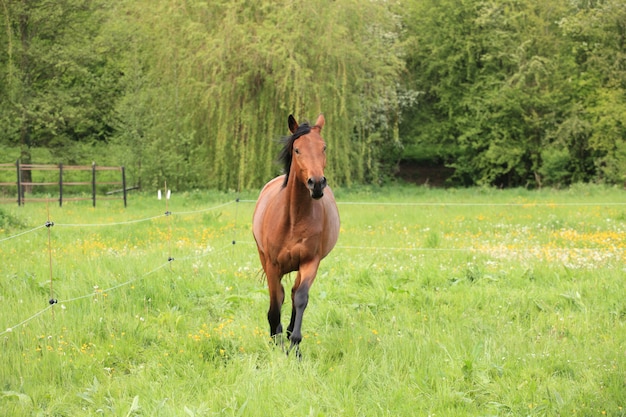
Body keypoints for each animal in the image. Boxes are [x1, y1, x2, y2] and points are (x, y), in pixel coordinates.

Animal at [251, 114, 338, 354]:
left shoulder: (310, 262)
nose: (316, 183)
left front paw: (295, 345)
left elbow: (300, 298)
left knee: (293, 292)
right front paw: (277, 342)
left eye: (324, 147)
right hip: (264, 258)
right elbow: (274, 303)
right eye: (297, 149)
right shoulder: (272, 265)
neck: (293, 219)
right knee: (280, 295)